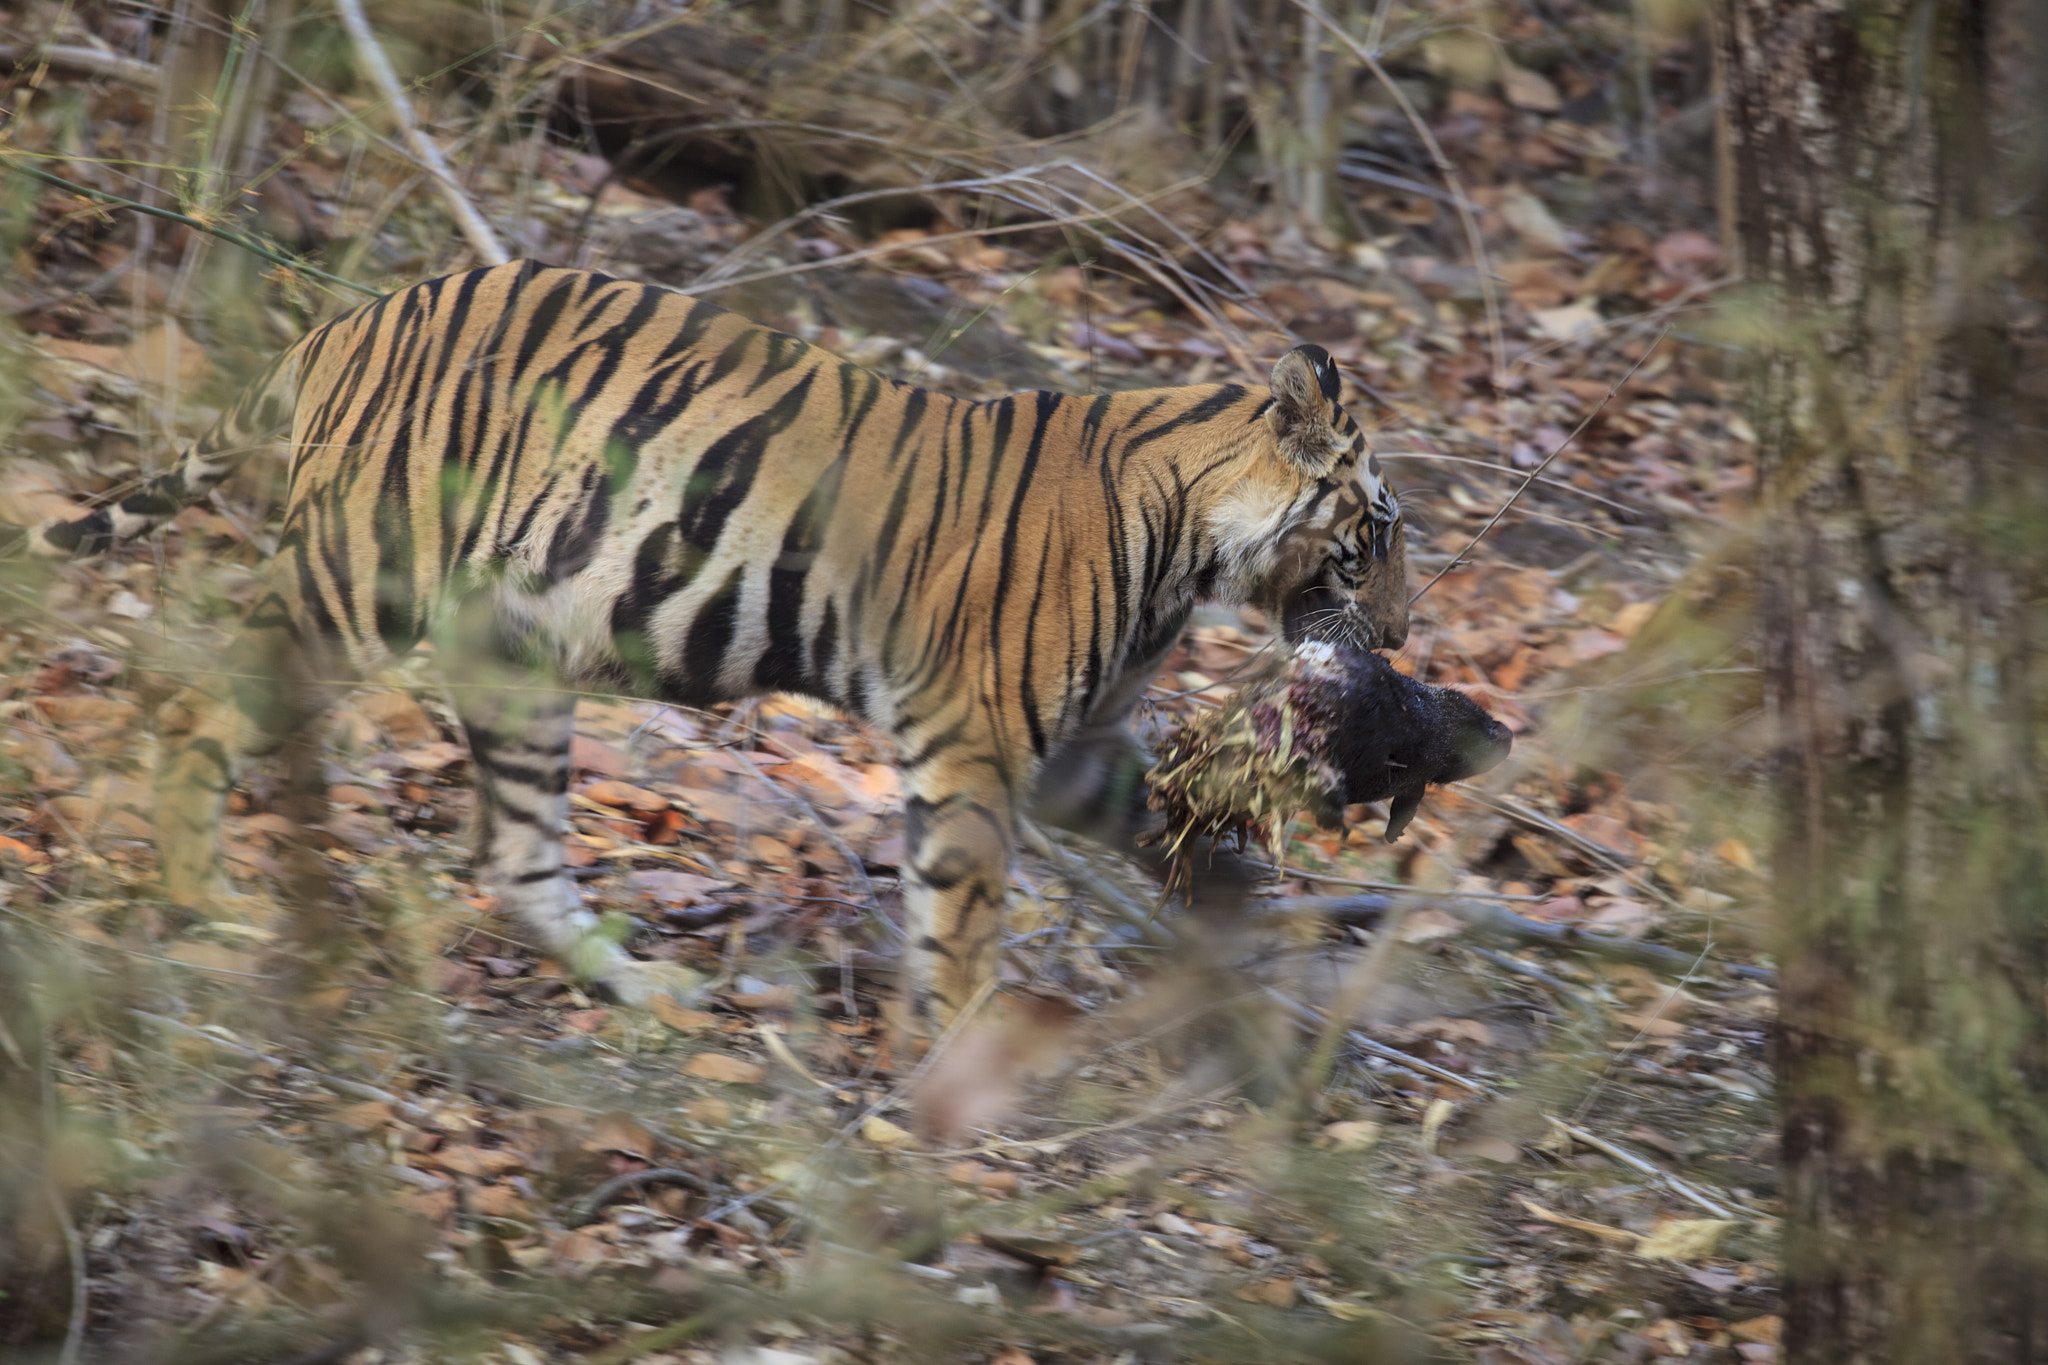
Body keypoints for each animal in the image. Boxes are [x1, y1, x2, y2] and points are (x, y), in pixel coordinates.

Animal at [16, 261, 1409, 1031]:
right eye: (1372, 539)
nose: (1400, 637)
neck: (1187, 545)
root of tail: (349, 320)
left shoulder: (1073, 749)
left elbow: (1169, 827)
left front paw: (1247, 908)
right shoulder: (973, 741)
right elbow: (960, 910)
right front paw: (966, 1053)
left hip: (514, 651)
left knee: (517, 857)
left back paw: (648, 991)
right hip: (363, 571)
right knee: (194, 708)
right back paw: (205, 898)